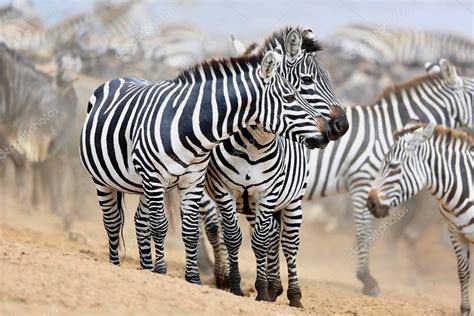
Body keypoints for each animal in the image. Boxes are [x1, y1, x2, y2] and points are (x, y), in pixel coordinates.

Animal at [79, 50, 332, 284]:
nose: (328, 131)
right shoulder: (154, 176)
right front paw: (161, 272)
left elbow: (190, 231)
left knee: (140, 221)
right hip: (105, 180)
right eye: (289, 97)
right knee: (113, 222)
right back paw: (115, 265)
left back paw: (146, 268)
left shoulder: (192, 179)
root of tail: (119, 78)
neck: (187, 126)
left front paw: (192, 278)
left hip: (143, 185)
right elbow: (159, 226)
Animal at [203, 25, 348, 308]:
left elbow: (262, 241)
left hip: (293, 199)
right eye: (307, 80)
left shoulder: (268, 193)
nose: (341, 126)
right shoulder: (224, 190)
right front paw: (235, 286)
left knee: (288, 243)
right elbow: (233, 236)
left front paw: (262, 290)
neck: (251, 143)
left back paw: (292, 294)